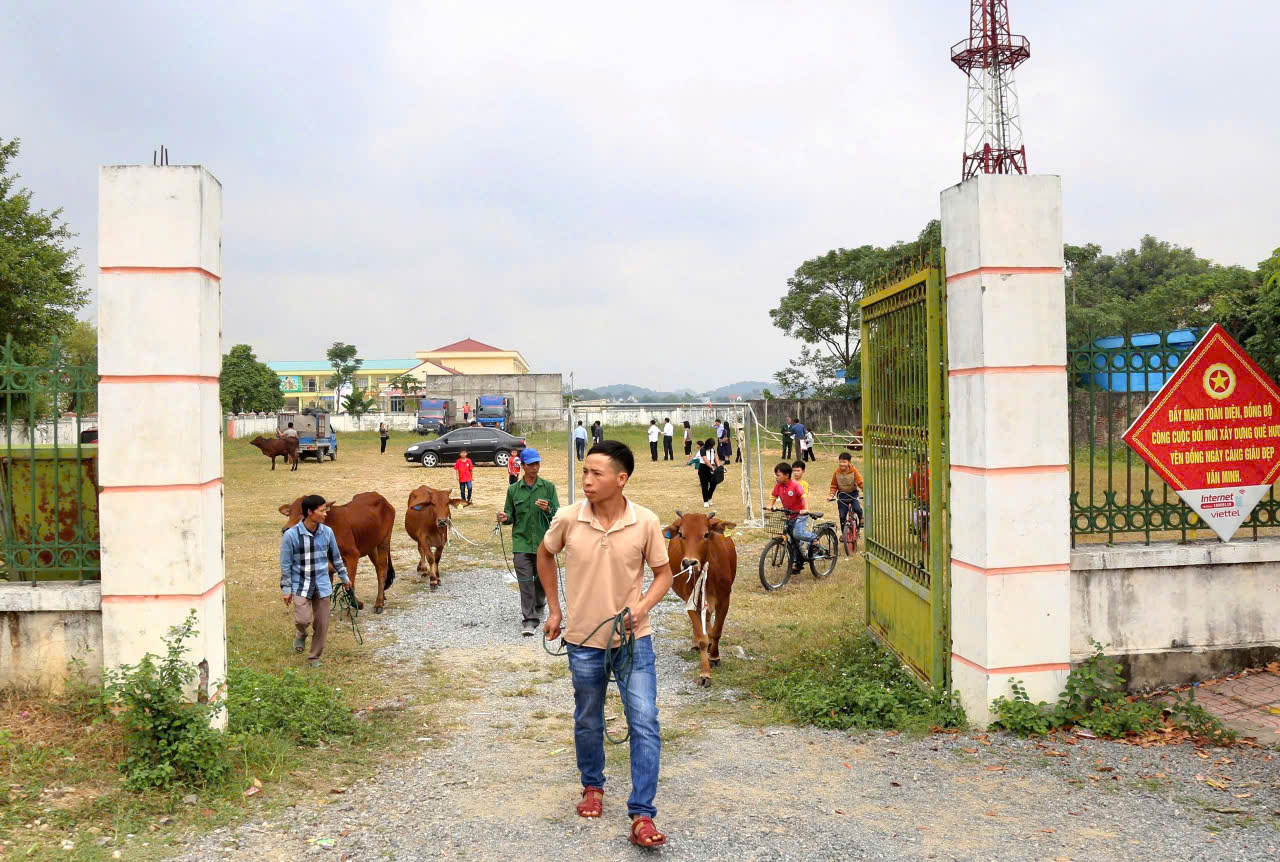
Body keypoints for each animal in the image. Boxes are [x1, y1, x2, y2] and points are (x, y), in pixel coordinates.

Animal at [665, 512, 737, 686]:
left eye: (706, 534)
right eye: (681, 534)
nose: (689, 562)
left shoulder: (725, 600)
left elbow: (717, 631)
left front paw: (715, 656)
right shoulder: (690, 601)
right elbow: (702, 637)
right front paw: (705, 673)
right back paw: (695, 643)